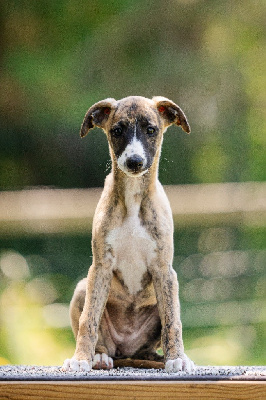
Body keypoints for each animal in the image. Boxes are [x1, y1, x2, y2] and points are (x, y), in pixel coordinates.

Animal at [62, 95, 195, 374]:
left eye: (151, 130)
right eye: (117, 131)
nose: (134, 162)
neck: (133, 199)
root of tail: (126, 349)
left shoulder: (164, 270)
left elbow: (172, 322)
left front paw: (178, 358)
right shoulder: (100, 267)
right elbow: (88, 319)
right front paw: (80, 359)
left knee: (160, 333)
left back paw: (161, 358)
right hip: (82, 288)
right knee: (99, 335)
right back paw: (99, 357)